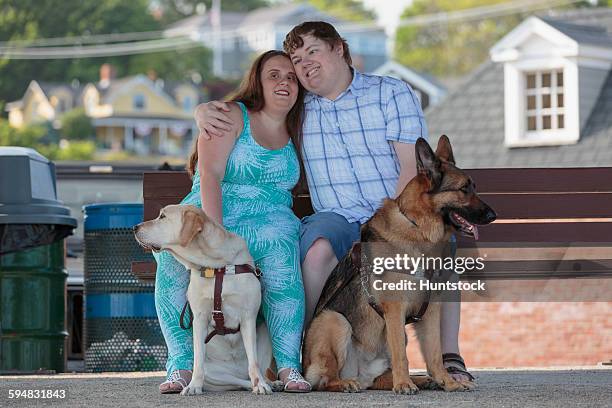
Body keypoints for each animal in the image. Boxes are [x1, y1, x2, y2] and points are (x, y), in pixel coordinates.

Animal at [302, 137, 498, 396]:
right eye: (464, 189)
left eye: (473, 186)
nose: (494, 215)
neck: (418, 229)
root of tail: (361, 374)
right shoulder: (395, 310)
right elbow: (401, 356)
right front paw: (404, 384)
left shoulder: (431, 311)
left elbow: (435, 354)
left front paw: (447, 381)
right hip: (335, 320)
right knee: (324, 381)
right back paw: (347, 383)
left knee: (379, 378)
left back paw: (423, 380)